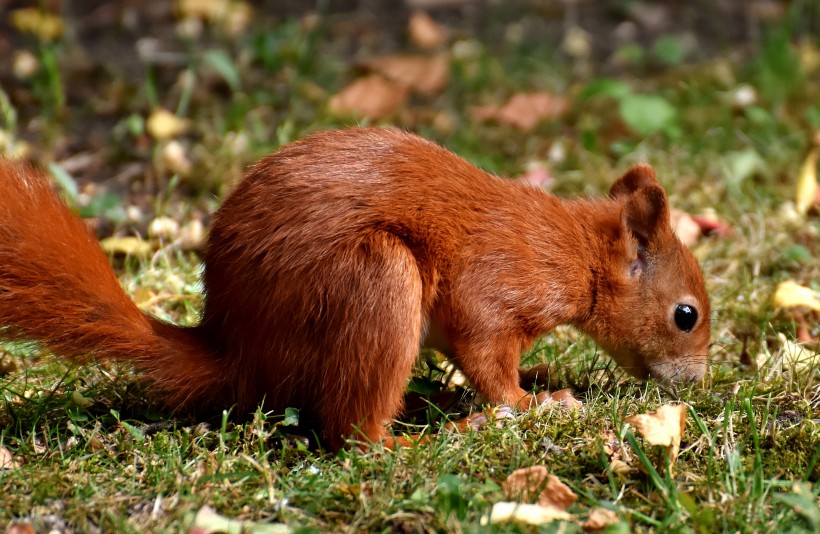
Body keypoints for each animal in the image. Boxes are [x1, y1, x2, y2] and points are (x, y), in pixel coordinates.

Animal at [0, 129, 712, 452]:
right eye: (686, 315)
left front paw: (536, 379)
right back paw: (434, 436)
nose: (699, 382)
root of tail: (237, 351)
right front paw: (533, 401)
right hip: (377, 282)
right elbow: (485, 352)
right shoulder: (497, 287)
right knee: (353, 432)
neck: (574, 253)